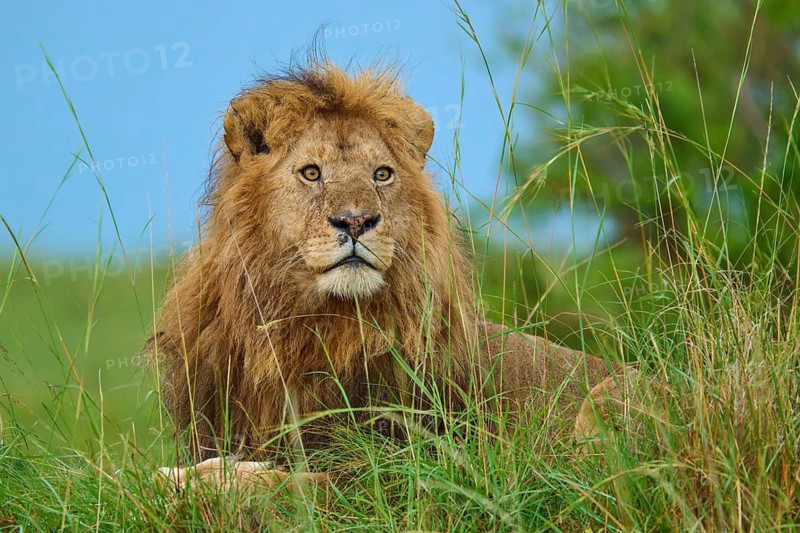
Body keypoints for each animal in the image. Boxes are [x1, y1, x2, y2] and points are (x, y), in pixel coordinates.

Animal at [150, 60, 628, 490]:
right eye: (311, 172)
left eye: (381, 174)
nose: (356, 221)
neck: (307, 325)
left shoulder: (410, 465)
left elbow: (302, 484)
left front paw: (212, 480)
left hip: (611, 394)